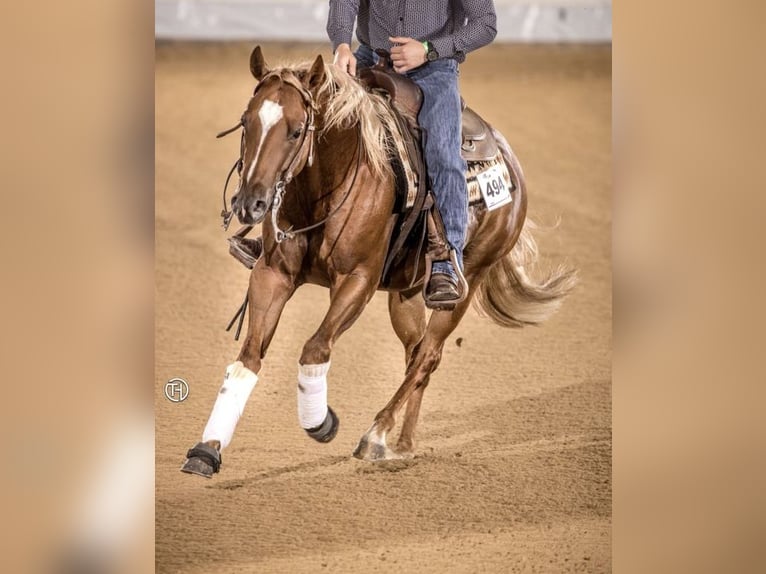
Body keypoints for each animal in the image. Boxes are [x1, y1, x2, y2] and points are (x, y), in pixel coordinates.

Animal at [182, 44, 576, 476]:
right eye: (245, 122)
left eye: (296, 130)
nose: (250, 203)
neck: (327, 187)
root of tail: (509, 161)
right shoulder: (272, 274)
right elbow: (249, 357)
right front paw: (207, 449)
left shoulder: (358, 280)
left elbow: (316, 348)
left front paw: (320, 422)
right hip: (405, 294)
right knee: (415, 353)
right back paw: (401, 442)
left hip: (467, 280)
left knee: (428, 355)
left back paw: (375, 434)